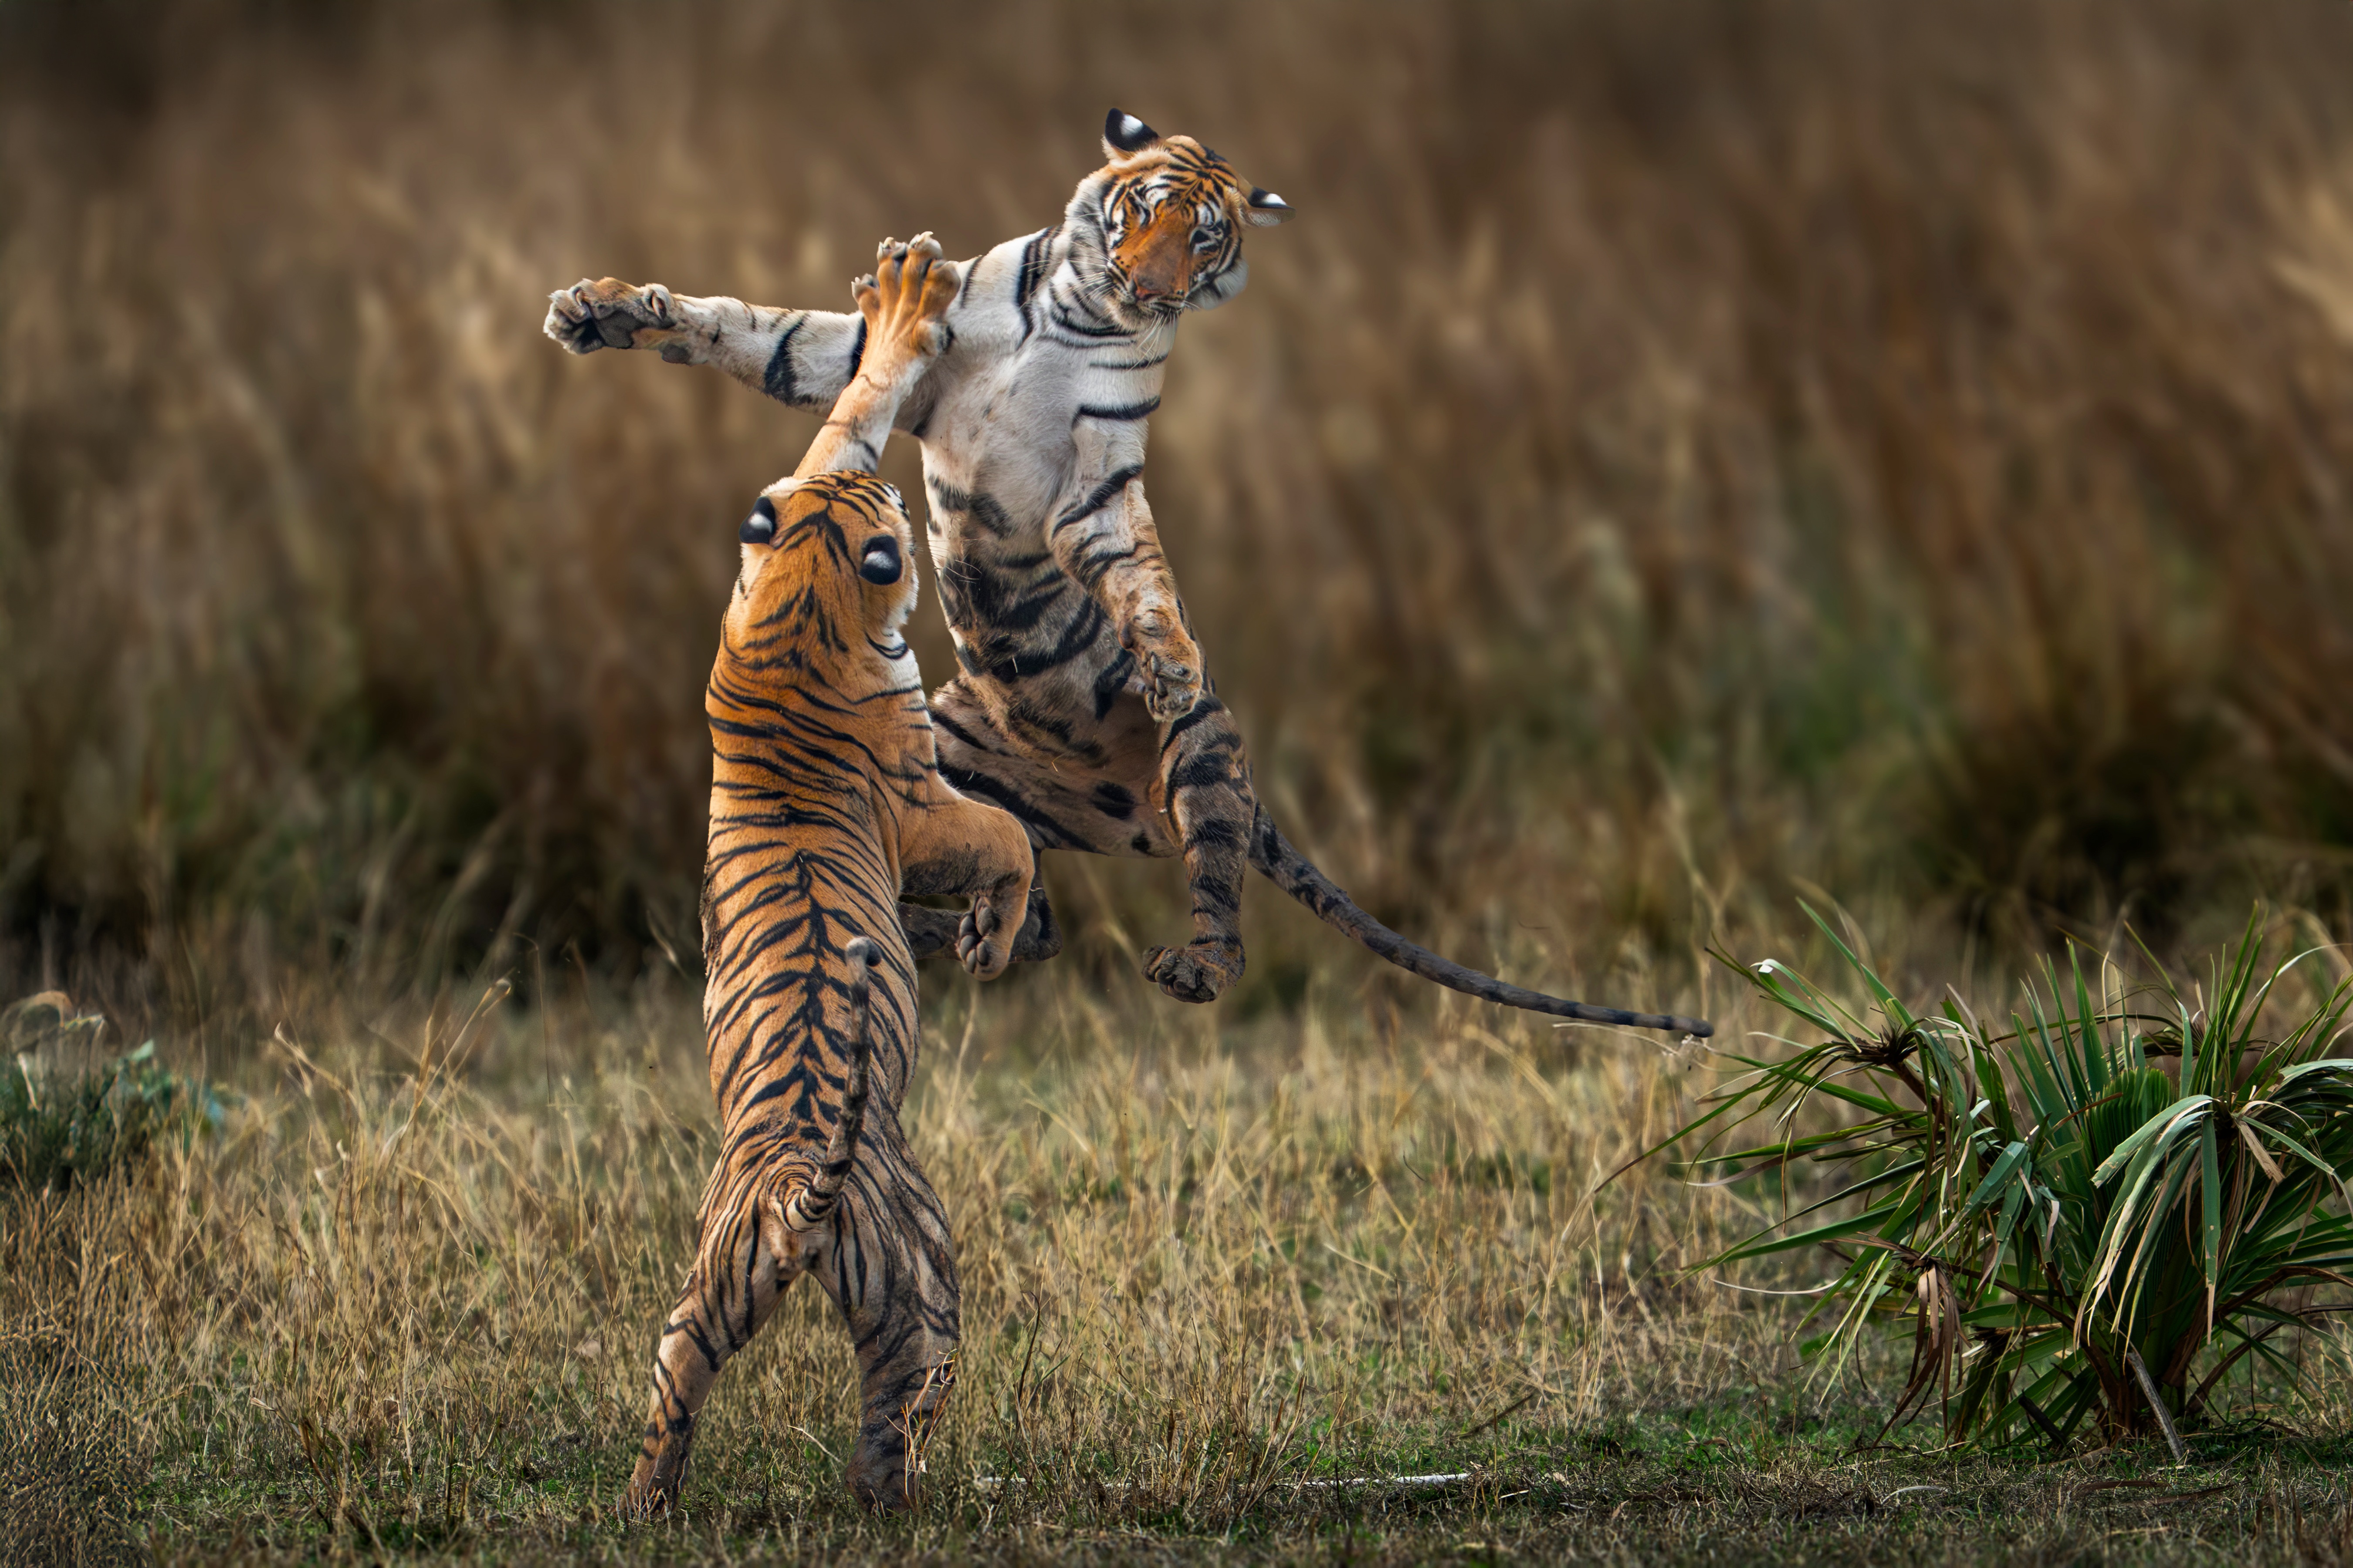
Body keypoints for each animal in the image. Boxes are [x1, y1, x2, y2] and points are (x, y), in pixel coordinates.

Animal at [547, 110, 1712, 1040]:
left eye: (1203, 239)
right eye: (1139, 213)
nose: (1148, 288)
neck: (1075, 316)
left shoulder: (1096, 479)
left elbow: (1139, 576)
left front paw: (1164, 655)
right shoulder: (869, 370)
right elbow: (755, 331)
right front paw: (603, 311)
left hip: (1198, 766)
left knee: (1210, 884)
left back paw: (1185, 961)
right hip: (943, 760)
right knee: (1028, 910)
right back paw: (941, 930)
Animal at [623, 235, 1034, 1518]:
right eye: (891, 514)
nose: (902, 496)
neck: (799, 599)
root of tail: (802, 1193)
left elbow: (840, 423)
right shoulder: (921, 810)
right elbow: (1011, 838)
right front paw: (991, 935)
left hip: (702, 1298)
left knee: (671, 1402)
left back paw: (646, 1504)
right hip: (923, 1289)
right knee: (899, 1413)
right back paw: (903, 1493)